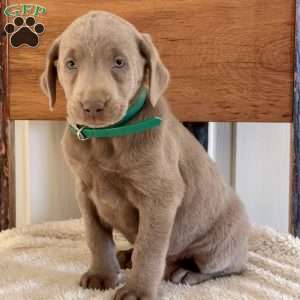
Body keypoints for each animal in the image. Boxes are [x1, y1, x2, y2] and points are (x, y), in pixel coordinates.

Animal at [40, 10, 251, 300]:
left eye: (119, 62)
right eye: (70, 64)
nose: (92, 106)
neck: (106, 138)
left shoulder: (160, 197)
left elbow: (149, 248)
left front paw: (137, 290)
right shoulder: (85, 192)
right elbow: (96, 237)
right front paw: (102, 274)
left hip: (219, 246)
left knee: (231, 267)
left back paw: (187, 273)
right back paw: (127, 256)